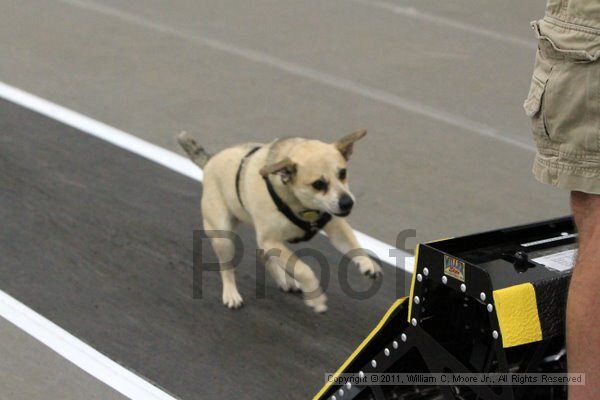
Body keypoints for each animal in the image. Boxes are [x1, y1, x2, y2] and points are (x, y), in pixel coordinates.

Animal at [178, 130, 382, 312]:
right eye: (318, 184)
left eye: (343, 173)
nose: (348, 202)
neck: (300, 204)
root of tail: (210, 160)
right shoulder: (271, 241)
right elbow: (303, 268)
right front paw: (315, 298)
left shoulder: (335, 225)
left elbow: (352, 243)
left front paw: (367, 264)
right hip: (223, 237)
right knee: (227, 268)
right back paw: (231, 294)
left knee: (263, 254)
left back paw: (284, 280)